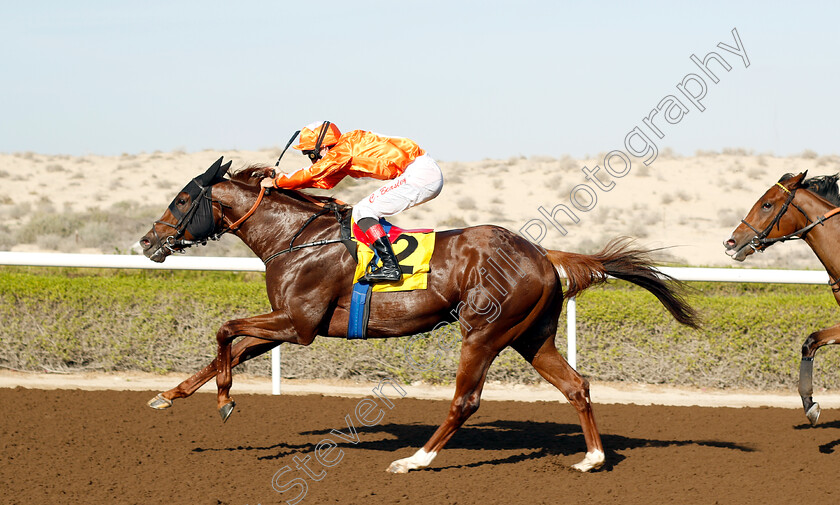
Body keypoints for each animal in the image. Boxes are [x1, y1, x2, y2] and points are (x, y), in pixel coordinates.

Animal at [141, 156, 700, 470]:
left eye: (184, 199)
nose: (148, 242)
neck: (294, 240)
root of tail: (542, 255)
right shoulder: (291, 324)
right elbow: (230, 349)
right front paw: (170, 396)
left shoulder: (299, 325)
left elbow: (224, 330)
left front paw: (224, 400)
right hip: (531, 335)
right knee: (575, 385)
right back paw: (592, 458)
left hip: (484, 332)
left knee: (466, 401)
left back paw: (415, 461)